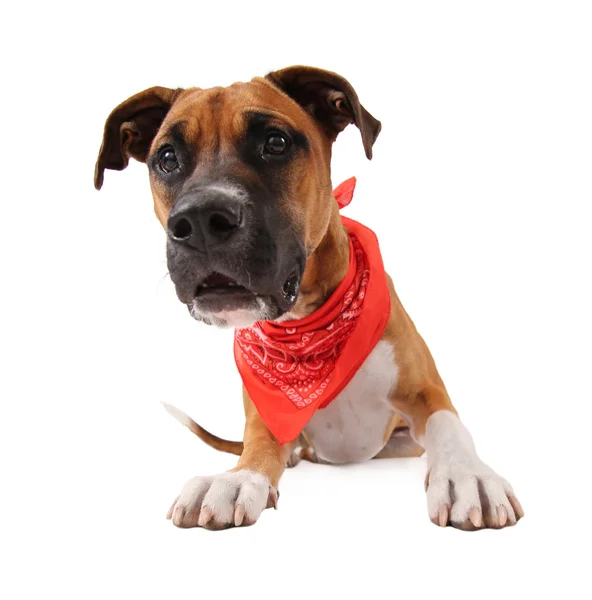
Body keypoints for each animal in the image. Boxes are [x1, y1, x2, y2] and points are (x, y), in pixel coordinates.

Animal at [95, 68, 524, 532]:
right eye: (168, 158)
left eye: (276, 142)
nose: (201, 220)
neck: (306, 326)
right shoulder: (266, 417)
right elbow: (258, 447)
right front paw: (238, 478)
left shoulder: (426, 391)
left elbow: (450, 427)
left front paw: (467, 476)